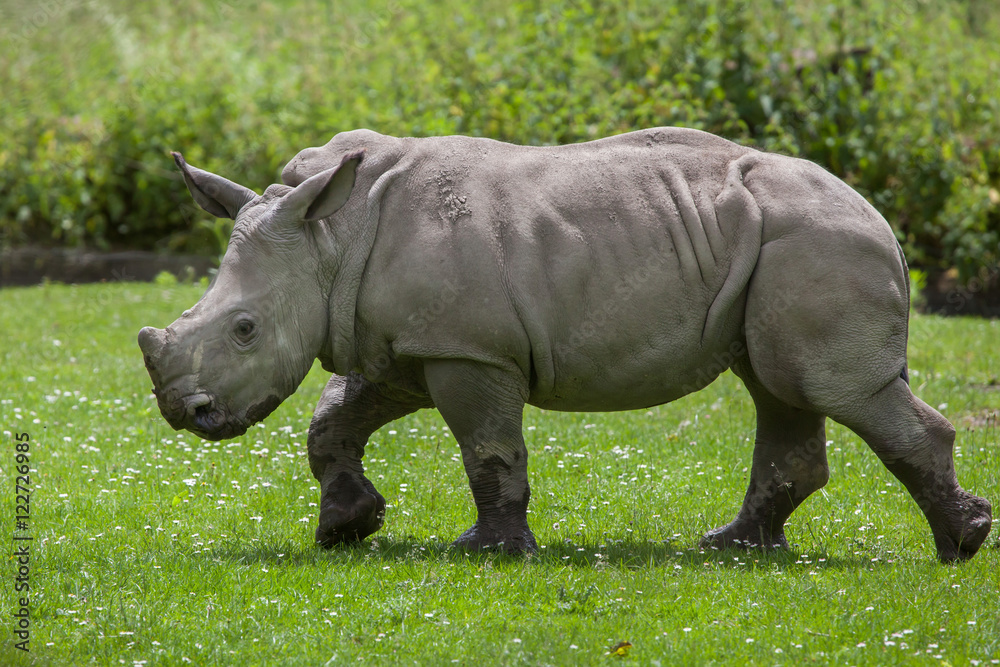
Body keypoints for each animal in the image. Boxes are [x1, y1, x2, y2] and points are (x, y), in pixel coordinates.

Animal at [138, 127, 992, 562]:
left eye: (244, 329)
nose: (185, 412)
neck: (328, 237)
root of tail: (880, 215)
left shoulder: (468, 349)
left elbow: (487, 447)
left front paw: (487, 549)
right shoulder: (405, 342)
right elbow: (331, 420)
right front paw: (347, 527)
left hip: (819, 240)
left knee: (829, 387)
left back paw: (962, 544)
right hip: (783, 244)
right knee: (778, 388)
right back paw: (734, 547)